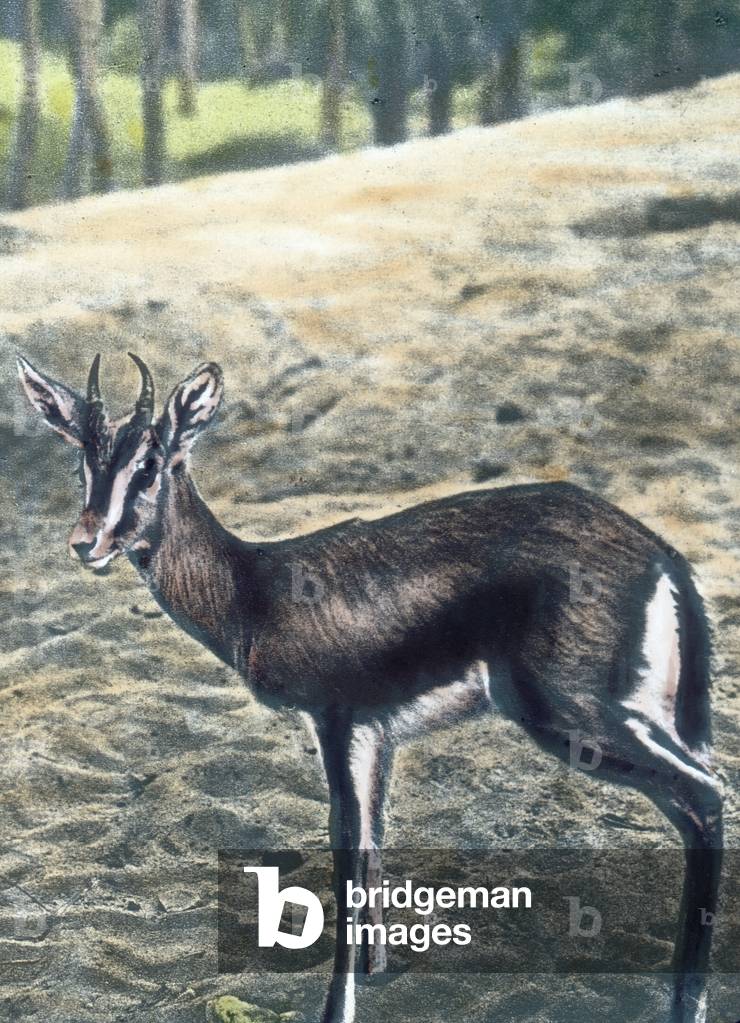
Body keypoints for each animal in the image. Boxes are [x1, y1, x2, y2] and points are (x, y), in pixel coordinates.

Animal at [17, 353, 723, 1023]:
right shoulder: (378, 734)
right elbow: (376, 839)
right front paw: (380, 971)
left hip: (570, 716)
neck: (253, 589)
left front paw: (338, 1009)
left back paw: (686, 1003)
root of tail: (662, 556)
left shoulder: (339, 721)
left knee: (704, 796)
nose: (86, 542)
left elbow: (347, 852)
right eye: (84, 462)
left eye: (150, 464)